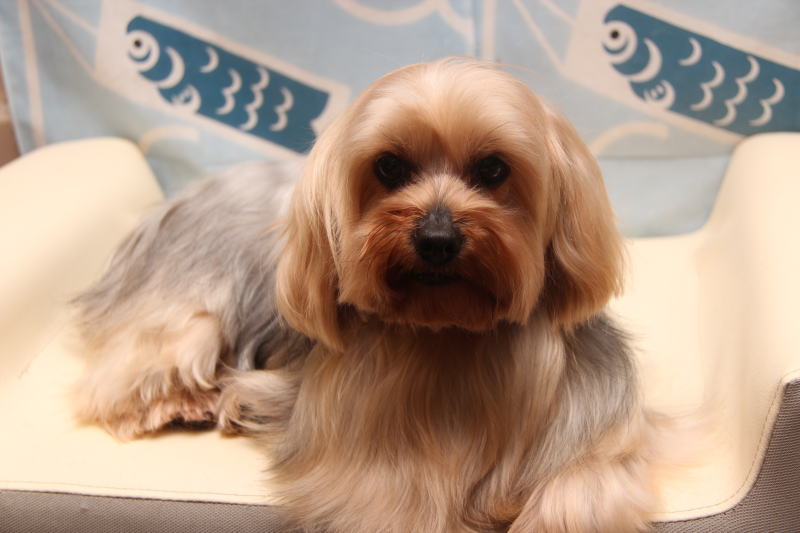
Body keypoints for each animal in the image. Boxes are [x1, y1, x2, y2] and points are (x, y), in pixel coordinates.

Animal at [74, 58, 661, 532]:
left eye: (494, 167)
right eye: (389, 166)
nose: (437, 239)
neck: (449, 331)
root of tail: (185, 194)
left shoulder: (596, 436)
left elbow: (583, 490)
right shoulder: (366, 470)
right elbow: (391, 503)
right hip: (189, 294)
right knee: (138, 362)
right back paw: (178, 401)